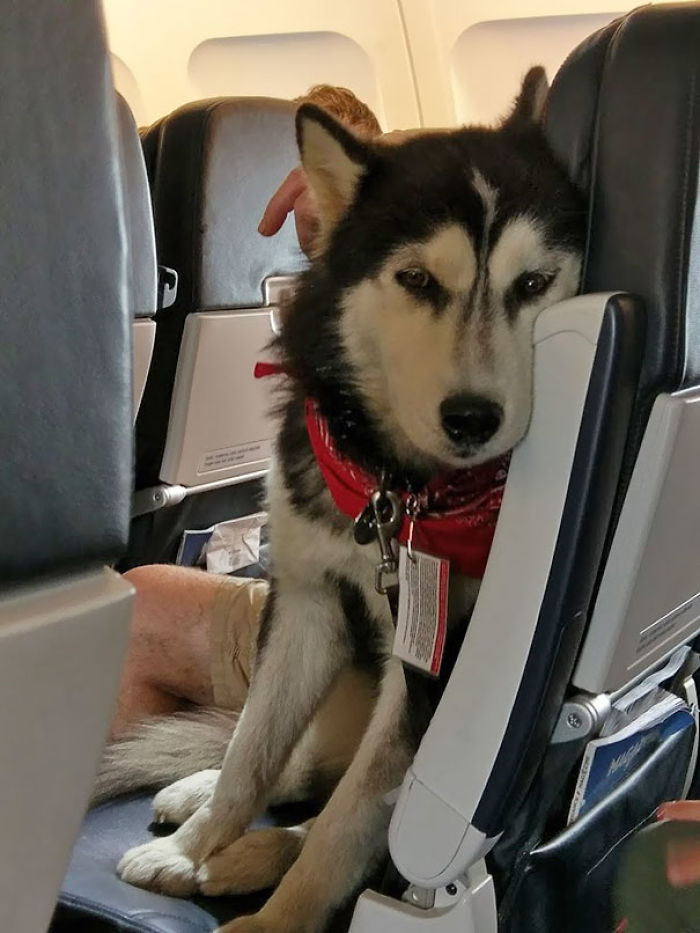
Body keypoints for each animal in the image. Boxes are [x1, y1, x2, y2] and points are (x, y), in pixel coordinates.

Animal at [115, 71, 584, 932]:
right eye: (418, 279)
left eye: (533, 284)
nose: (474, 418)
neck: (394, 488)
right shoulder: (304, 601)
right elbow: (252, 751)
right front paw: (195, 843)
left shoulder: (431, 677)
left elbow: (350, 823)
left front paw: (274, 920)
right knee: (295, 762)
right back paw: (199, 802)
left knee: (342, 809)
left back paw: (255, 855)